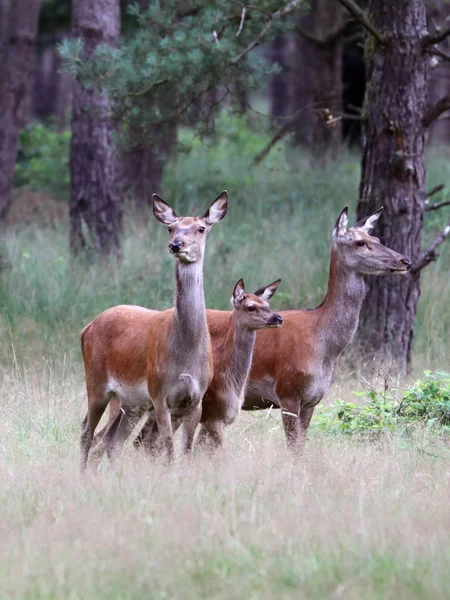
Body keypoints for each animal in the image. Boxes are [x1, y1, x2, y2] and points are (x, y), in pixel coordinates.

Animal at [78, 190, 229, 466]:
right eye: (171, 228)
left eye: (201, 228)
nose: (176, 245)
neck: (185, 353)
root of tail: (87, 327)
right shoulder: (159, 394)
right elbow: (167, 451)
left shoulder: (196, 398)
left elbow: (186, 451)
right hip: (96, 382)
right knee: (87, 431)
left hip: (129, 402)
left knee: (112, 441)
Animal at [136, 206, 412, 454]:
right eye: (359, 242)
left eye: (377, 239)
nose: (405, 261)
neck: (323, 345)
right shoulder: (288, 391)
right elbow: (293, 449)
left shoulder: (313, 400)